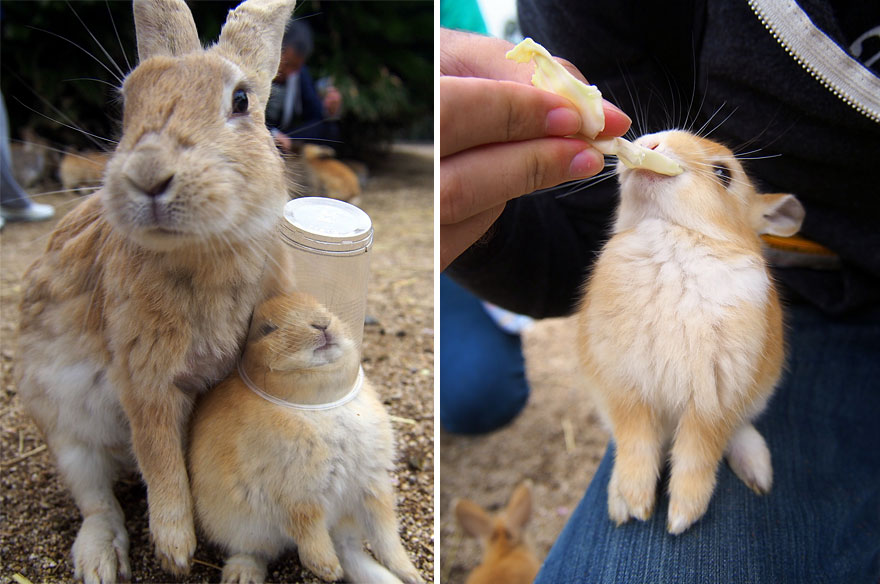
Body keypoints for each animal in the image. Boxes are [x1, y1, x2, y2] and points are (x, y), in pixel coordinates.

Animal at [15, 0, 297, 581]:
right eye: (128, 101)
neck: (204, 252)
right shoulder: (143, 378)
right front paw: (175, 550)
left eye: (241, 100)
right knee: (97, 500)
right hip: (66, 433)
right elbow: (160, 456)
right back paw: (100, 561)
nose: (148, 176)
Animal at [188, 292, 424, 584]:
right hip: (243, 527)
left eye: (322, 307)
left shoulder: (372, 486)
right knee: (252, 552)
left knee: (350, 551)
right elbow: (307, 529)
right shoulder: (294, 496)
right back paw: (243, 575)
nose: (322, 324)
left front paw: (411, 573)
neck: (318, 403)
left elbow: (386, 535)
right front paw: (327, 569)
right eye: (267, 329)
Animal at [576, 130, 806, 534]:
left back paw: (759, 474)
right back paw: (619, 501)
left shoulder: (715, 398)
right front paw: (636, 501)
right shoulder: (626, 387)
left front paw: (682, 517)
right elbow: (636, 442)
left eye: (724, 174)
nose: (651, 144)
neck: (673, 235)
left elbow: (698, 455)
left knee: (738, 432)